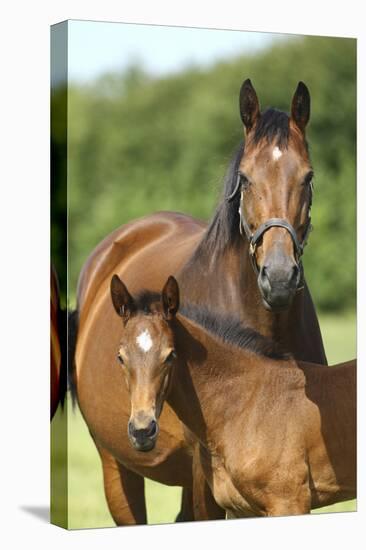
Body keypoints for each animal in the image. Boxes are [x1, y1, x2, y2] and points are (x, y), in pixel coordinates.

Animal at [111, 278, 354, 520]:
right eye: (120, 357)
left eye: (170, 355)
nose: (142, 432)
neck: (245, 405)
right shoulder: (241, 509)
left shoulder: (289, 501)